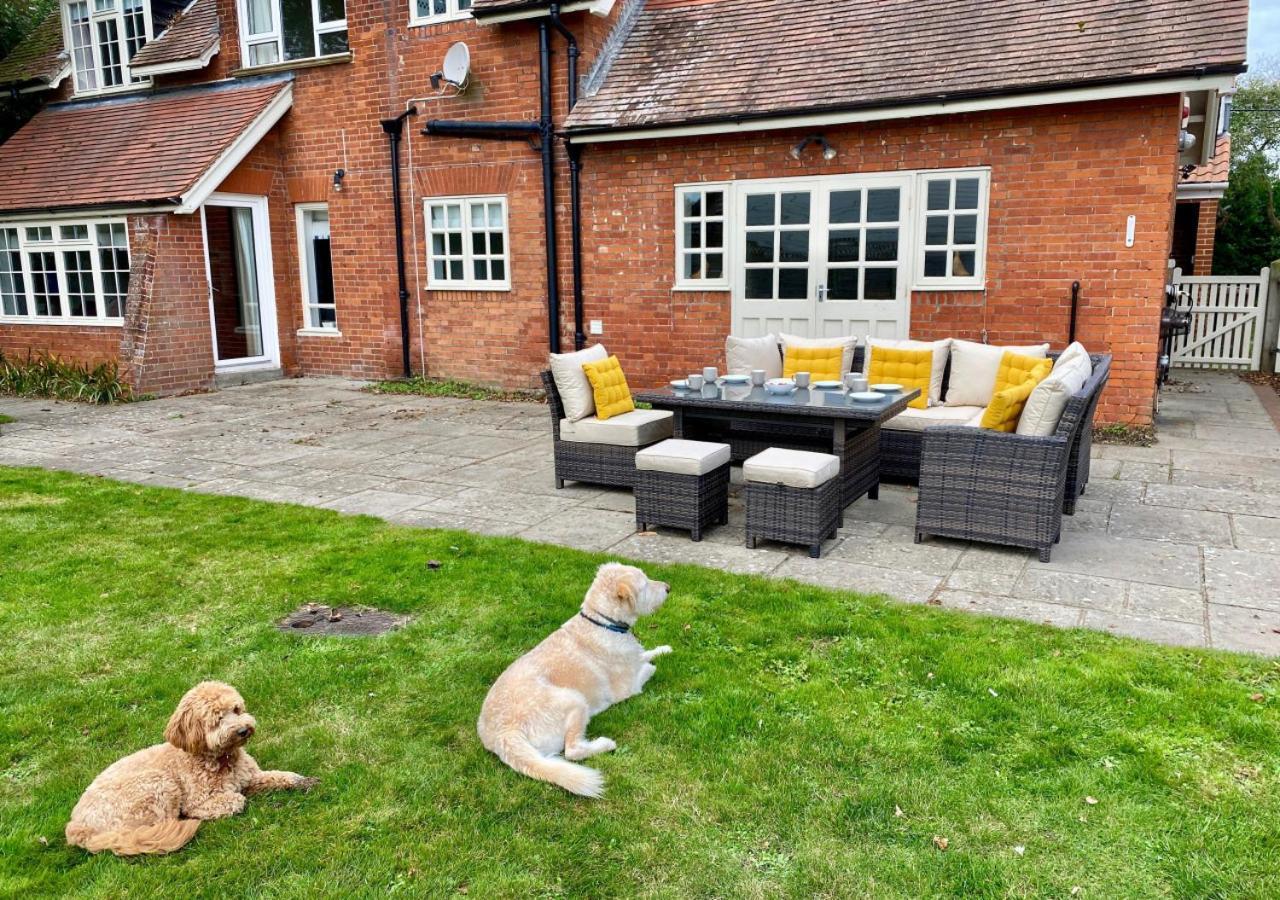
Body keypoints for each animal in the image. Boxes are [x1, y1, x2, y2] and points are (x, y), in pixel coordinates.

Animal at [64, 681, 317, 860]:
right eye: (217, 719)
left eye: (236, 709)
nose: (243, 730)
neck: (221, 759)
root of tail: (77, 826)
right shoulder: (198, 799)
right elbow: (234, 800)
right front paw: (231, 802)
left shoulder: (251, 777)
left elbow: (280, 775)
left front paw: (303, 780)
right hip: (158, 783)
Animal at [478, 560, 675, 798]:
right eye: (645, 584)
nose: (668, 588)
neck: (603, 622)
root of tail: (504, 735)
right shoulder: (629, 686)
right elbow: (647, 668)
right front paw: (654, 665)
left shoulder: (633, 656)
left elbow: (646, 653)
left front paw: (664, 649)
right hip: (574, 700)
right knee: (572, 751)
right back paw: (604, 744)